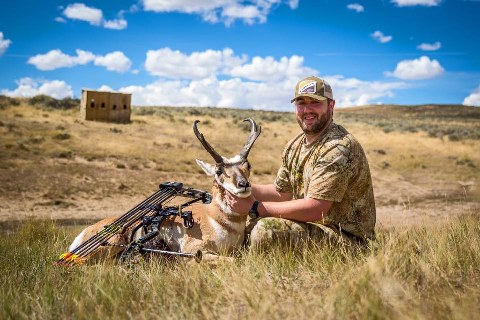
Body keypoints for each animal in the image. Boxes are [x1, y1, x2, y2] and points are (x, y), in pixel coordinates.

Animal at [69, 119, 260, 262]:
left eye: (248, 166)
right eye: (219, 171)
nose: (243, 184)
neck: (213, 217)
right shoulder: (194, 255)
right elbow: (233, 261)